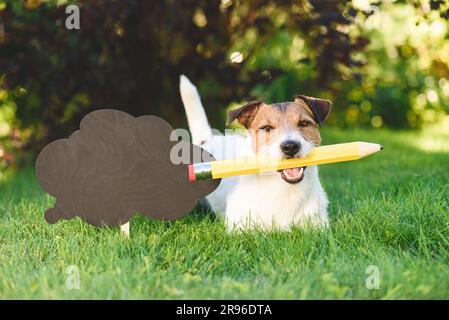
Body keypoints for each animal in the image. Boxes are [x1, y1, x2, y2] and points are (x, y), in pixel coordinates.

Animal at [180, 75, 330, 230]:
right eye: (266, 128)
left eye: (304, 123)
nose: (290, 146)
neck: (283, 188)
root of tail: (207, 140)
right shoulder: (240, 227)